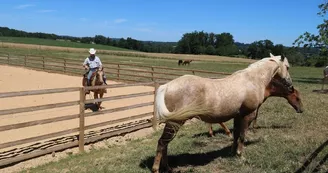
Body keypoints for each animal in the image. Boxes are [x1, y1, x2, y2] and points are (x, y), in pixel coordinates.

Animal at [151, 53, 294, 172]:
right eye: (287, 67)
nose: (291, 86)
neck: (252, 80)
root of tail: (167, 86)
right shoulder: (247, 115)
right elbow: (242, 135)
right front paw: (240, 156)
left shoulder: (238, 116)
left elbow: (236, 135)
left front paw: (232, 153)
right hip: (175, 122)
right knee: (162, 143)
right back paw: (157, 169)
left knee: (165, 144)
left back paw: (168, 168)